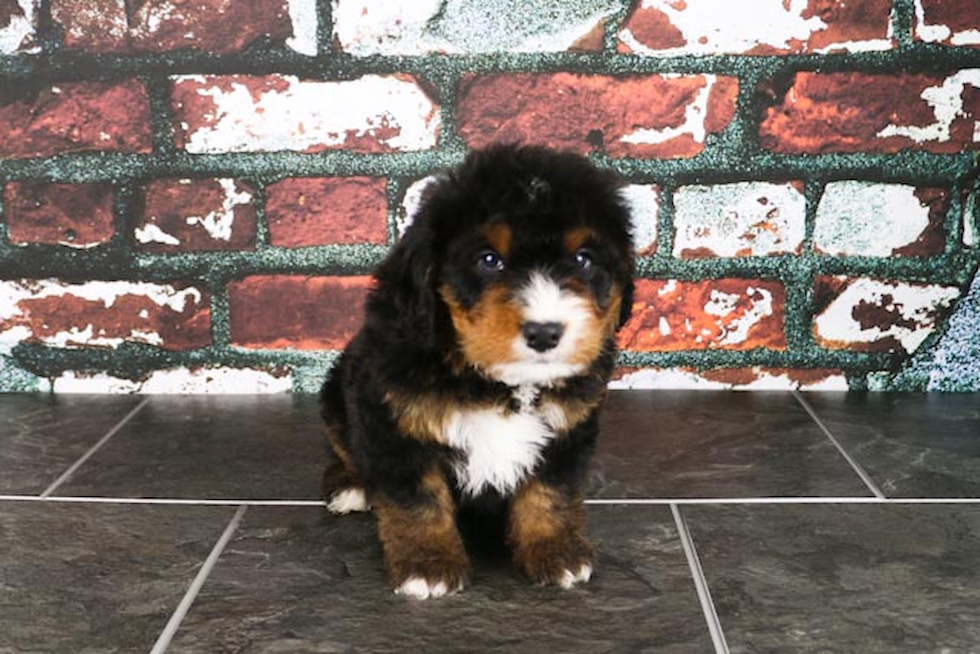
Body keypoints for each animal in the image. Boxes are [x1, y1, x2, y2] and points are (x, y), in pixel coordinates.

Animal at [320, 146, 636, 604]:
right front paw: (428, 566)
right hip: (337, 396)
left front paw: (557, 551)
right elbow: (417, 498)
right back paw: (350, 486)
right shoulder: (393, 418)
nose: (545, 332)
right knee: (343, 448)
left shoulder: (570, 425)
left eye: (583, 259)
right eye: (489, 260)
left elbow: (551, 492)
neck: (500, 381)